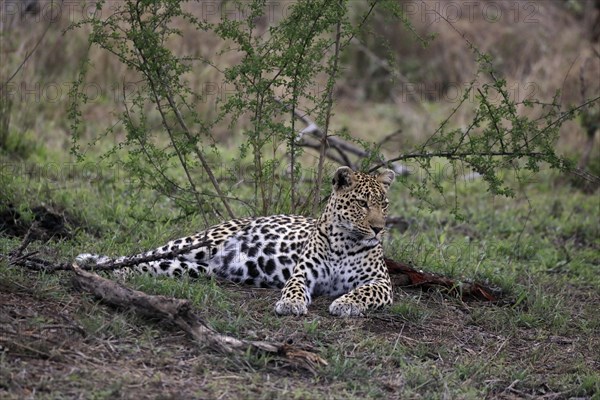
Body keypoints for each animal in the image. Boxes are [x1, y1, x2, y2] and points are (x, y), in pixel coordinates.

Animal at [76, 166, 394, 316]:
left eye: (384, 204)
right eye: (362, 203)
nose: (379, 229)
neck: (345, 241)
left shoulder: (381, 283)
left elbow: (362, 292)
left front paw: (346, 304)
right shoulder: (303, 273)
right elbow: (293, 288)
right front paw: (290, 304)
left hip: (193, 268)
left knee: (149, 264)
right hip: (200, 243)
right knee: (140, 255)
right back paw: (91, 263)